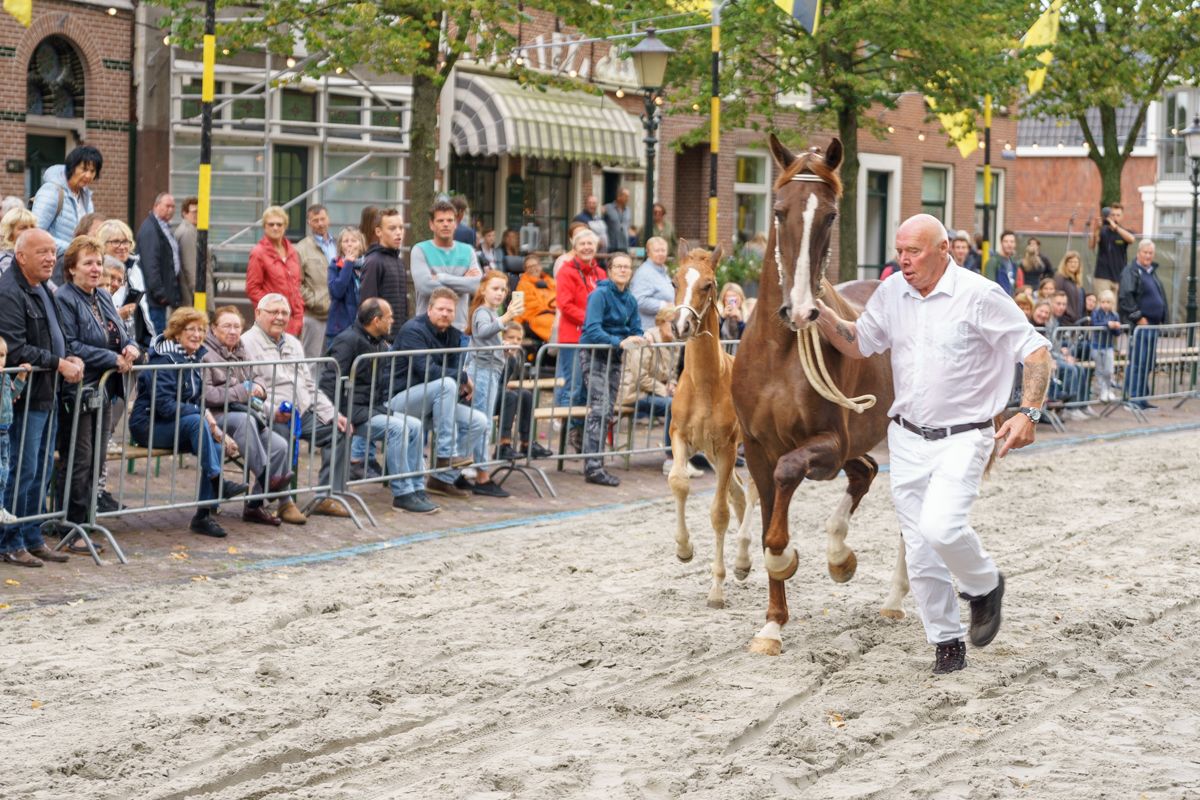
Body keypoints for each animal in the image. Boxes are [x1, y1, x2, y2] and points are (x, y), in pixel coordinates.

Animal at [666, 242, 758, 609]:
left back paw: (744, 561)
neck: (707, 384)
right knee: (740, 493)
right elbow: (678, 481)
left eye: (708, 284)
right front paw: (684, 549)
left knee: (755, 492)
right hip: (717, 457)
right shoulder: (681, 437)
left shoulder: (729, 447)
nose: (680, 325)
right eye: (674, 279)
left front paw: (717, 590)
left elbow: (719, 513)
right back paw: (743, 564)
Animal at [730, 134, 909, 656]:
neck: (780, 350)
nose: (802, 309)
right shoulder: (757, 446)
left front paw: (791, 556)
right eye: (778, 210)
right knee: (865, 471)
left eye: (830, 215)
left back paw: (892, 596)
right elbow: (767, 518)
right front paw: (772, 624)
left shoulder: (826, 443)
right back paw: (839, 555)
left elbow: (787, 483)